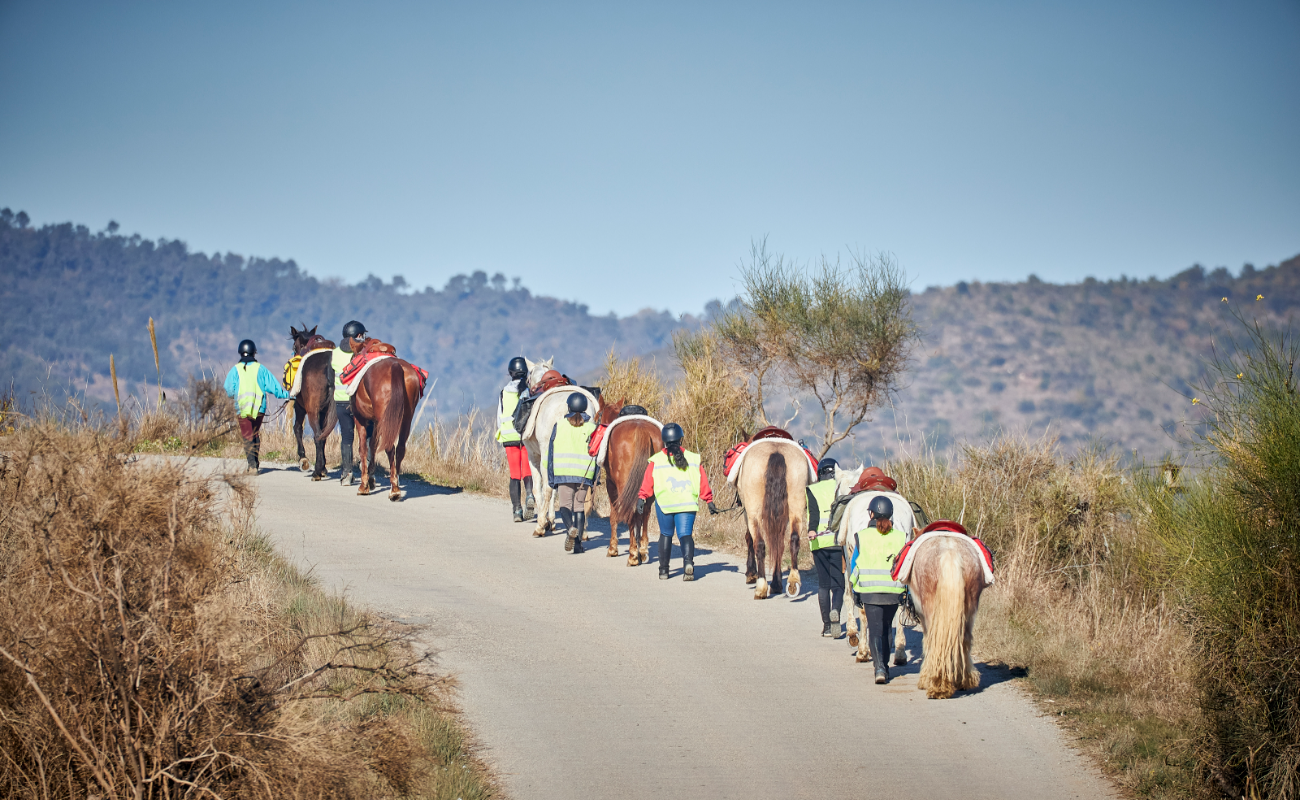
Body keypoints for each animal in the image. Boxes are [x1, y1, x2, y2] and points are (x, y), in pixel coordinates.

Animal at [288, 325, 338, 481]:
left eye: (294, 346)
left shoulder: (299, 406)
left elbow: (297, 428)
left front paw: (303, 459)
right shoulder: (324, 410)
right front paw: (324, 467)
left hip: (312, 410)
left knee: (317, 436)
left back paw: (316, 471)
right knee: (323, 435)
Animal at [345, 343, 421, 504]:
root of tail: (396, 366)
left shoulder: (361, 419)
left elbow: (363, 448)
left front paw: (364, 485)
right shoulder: (377, 421)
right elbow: (373, 444)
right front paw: (371, 479)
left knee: (389, 447)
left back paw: (394, 490)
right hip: (406, 417)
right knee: (400, 448)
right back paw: (395, 484)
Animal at [595, 398, 660, 564]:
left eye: (598, 414)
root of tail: (642, 430)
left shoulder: (611, 484)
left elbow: (614, 515)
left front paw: (613, 548)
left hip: (623, 485)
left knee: (630, 512)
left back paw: (633, 554)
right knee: (646, 512)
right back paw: (642, 550)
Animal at [904, 522, 982, 697]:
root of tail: (950, 552)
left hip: (930, 609)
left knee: (935, 640)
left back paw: (937, 684)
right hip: (970, 609)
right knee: (964, 639)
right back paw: (963, 680)